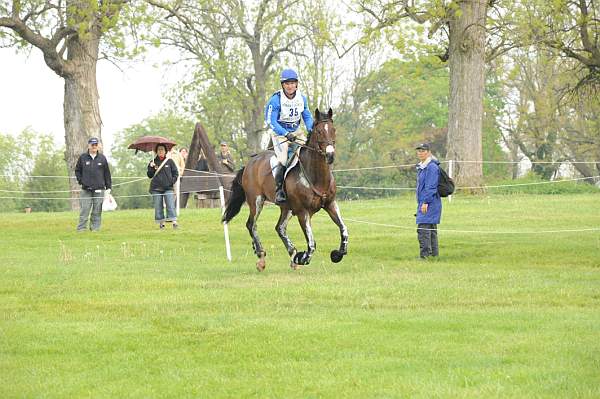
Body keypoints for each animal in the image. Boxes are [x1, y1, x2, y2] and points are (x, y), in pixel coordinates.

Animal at [223, 108, 350, 272]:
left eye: (333, 130)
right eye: (319, 131)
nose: (330, 155)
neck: (316, 176)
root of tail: (250, 163)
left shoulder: (330, 205)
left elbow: (344, 230)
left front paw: (337, 254)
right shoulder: (303, 212)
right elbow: (311, 243)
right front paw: (303, 257)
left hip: (287, 207)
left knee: (280, 228)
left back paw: (292, 253)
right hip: (256, 201)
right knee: (251, 225)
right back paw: (261, 256)